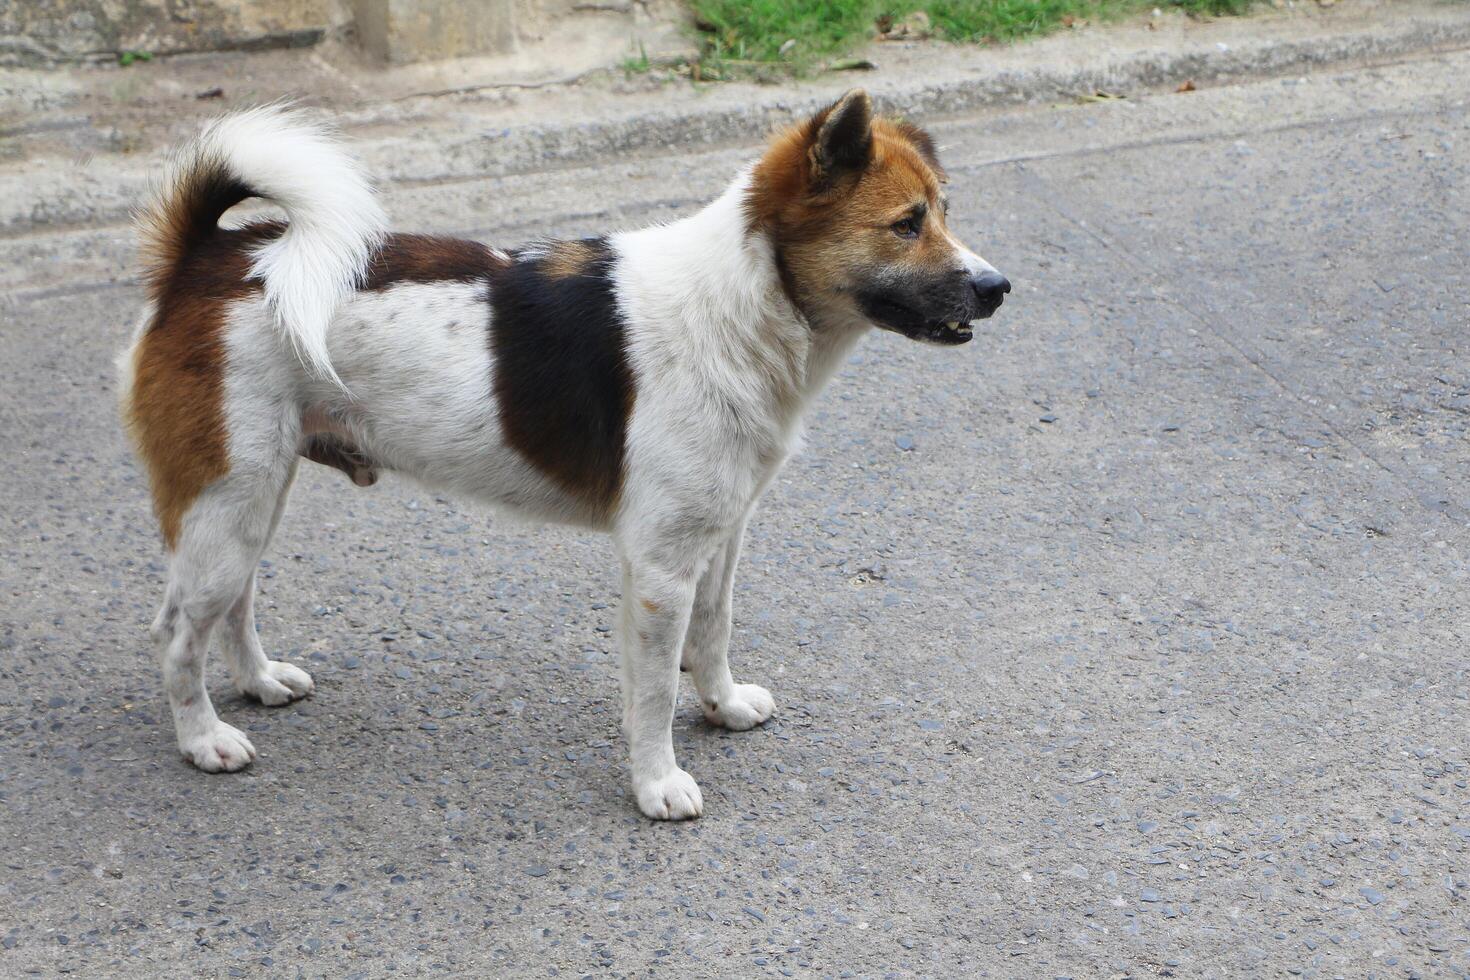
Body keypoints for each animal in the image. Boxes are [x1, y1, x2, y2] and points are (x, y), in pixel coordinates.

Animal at [120, 94, 1011, 822]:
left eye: (943, 212)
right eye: (906, 224)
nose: (998, 287)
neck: (741, 307)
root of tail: (208, 259)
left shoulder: (720, 540)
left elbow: (715, 631)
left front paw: (721, 706)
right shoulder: (659, 570)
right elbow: (654, 691)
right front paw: (657, 783)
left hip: (249, 497)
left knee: (234, 605)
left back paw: (259, 682)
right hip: (226, 502)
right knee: (175, 633)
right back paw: (203, 737)